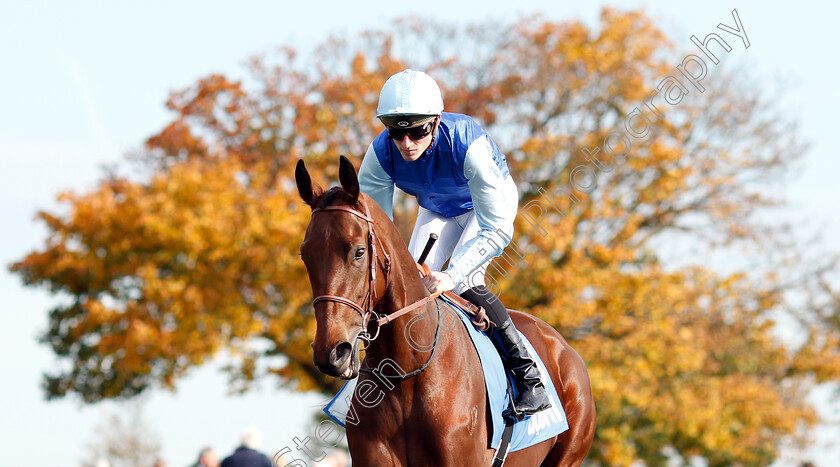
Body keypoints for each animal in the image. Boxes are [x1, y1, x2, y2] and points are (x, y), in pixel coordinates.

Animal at [296, 155, 596, 466]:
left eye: (358, 251)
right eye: (305, 254)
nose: (332, 352)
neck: (408, 371)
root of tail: (565, 348)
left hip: (568, 455)